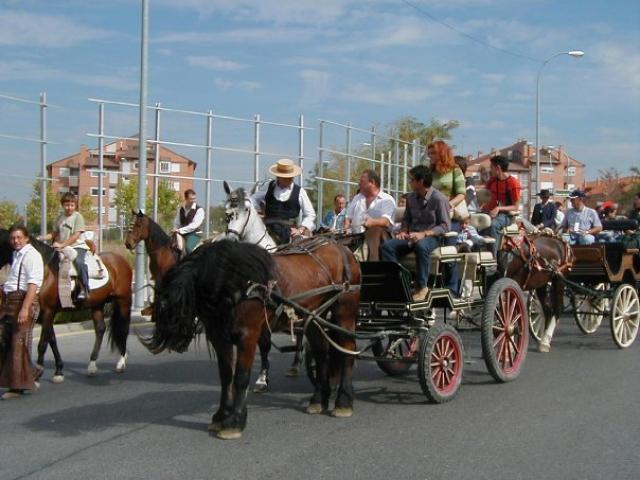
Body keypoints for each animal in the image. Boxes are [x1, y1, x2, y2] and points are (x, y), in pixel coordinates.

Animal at [0, 229, 132, 382]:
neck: (44, 269)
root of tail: (121, 260)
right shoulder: (44, 313)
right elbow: (52, 340)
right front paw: (58, 370)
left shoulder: (48, 311)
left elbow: (43, 343)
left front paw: (38, 374)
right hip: (97, 304)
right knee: (100, 329)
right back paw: (92, 365)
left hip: (123, 300)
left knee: (124, 328)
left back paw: (121, 362)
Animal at [142, 238, 360, 440]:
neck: (234, 285)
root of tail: (343, 249)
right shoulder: (219, 337)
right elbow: (226, 377)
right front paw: (221, 415)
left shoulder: (248, 335)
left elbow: (240, 377)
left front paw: (236, 420)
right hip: (314, 317)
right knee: (321, 352)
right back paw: (318, 399)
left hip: (344, 313)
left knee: (348, 350)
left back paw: (343, 401)